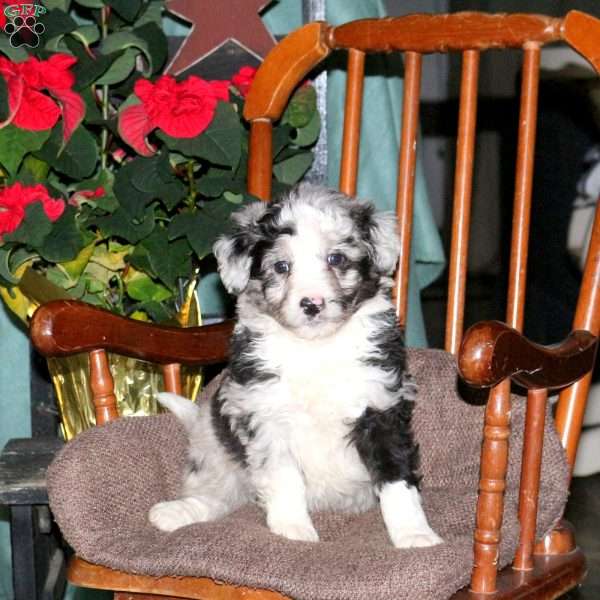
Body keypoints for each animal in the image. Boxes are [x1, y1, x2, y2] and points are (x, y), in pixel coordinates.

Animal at [149, 184, 440, 548]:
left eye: (336, 259)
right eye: (281, 266)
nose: (312, 304)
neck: (314, 348)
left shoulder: (382, 407)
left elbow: (397, 479)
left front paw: (414, 534)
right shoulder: (265, 416)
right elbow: (283, 477)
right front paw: (293, 529)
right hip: (215, 452)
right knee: (216, 496)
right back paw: (175, 512)